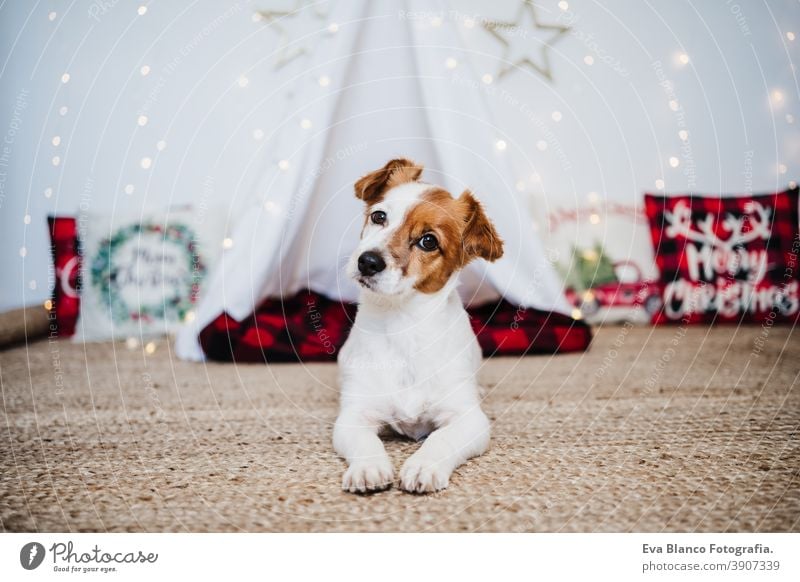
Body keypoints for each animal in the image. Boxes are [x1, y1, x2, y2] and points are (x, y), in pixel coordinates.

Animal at [334, 157, 504, 496]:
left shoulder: (469, 420)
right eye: (379, 216)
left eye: (428, 241)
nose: (367, 261)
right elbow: (364, 441)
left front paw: (424, 465)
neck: (404, 325)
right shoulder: (353, 415)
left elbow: (441, 438)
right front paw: (368, 468)